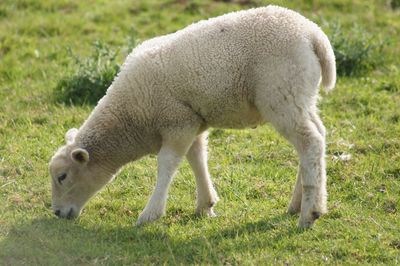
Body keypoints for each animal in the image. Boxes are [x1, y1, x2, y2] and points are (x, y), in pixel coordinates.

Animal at [50, 5, 338, 228]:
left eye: (62, 176)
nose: (57, 213)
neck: (131, 116)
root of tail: (315, 36)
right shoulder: (191, 121)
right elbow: (197, 158)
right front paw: (205, 205)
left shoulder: (176, 121)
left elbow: (167, 164)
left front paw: (151, 213)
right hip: (301, 96)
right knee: (317, 137)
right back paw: (299, 203)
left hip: (282, 94)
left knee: (310, 142)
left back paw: (309, 213)